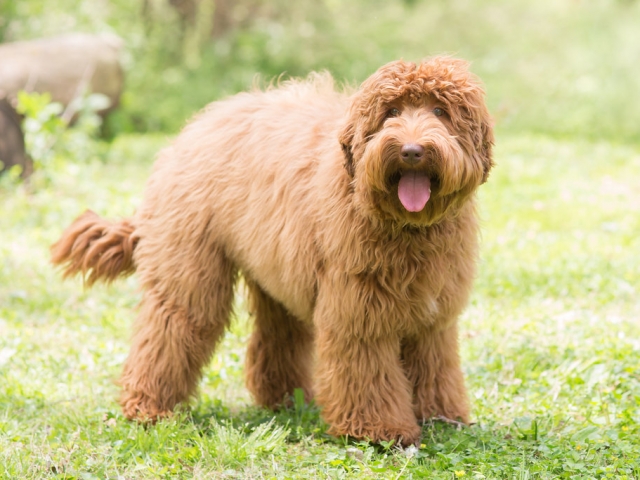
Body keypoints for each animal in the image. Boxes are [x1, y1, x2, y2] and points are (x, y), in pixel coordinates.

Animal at [53, 57, 496, 446]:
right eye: (391, 112)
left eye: (440, 111)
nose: (412, 151)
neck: (406, 226)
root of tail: (196, 127)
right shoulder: (359, 313)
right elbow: (368, 372)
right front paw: (378, 430)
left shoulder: (433, 314)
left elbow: (435, 366)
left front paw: (442, 416)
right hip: (190, 268)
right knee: (173, 327)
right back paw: (148, 406)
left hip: (275, 272)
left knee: (278, 334)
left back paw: (285, 400)